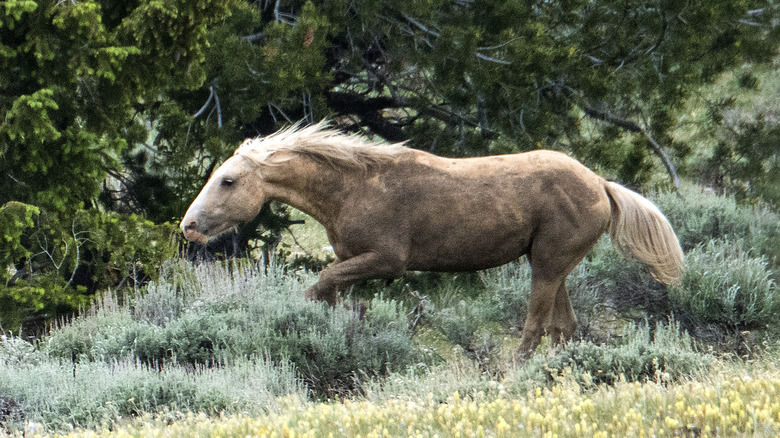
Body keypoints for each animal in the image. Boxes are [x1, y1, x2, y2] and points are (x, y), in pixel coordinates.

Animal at [181, 121, 684, 358]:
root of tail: (601, 184)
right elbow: (332, 293)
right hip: (552, 264)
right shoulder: (357, 263)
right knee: (565, 327)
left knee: (535, 325)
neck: (351, 189)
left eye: (227, 180)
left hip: (547, 263)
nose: (188, 226)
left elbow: (319, 284)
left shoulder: (387, 260)